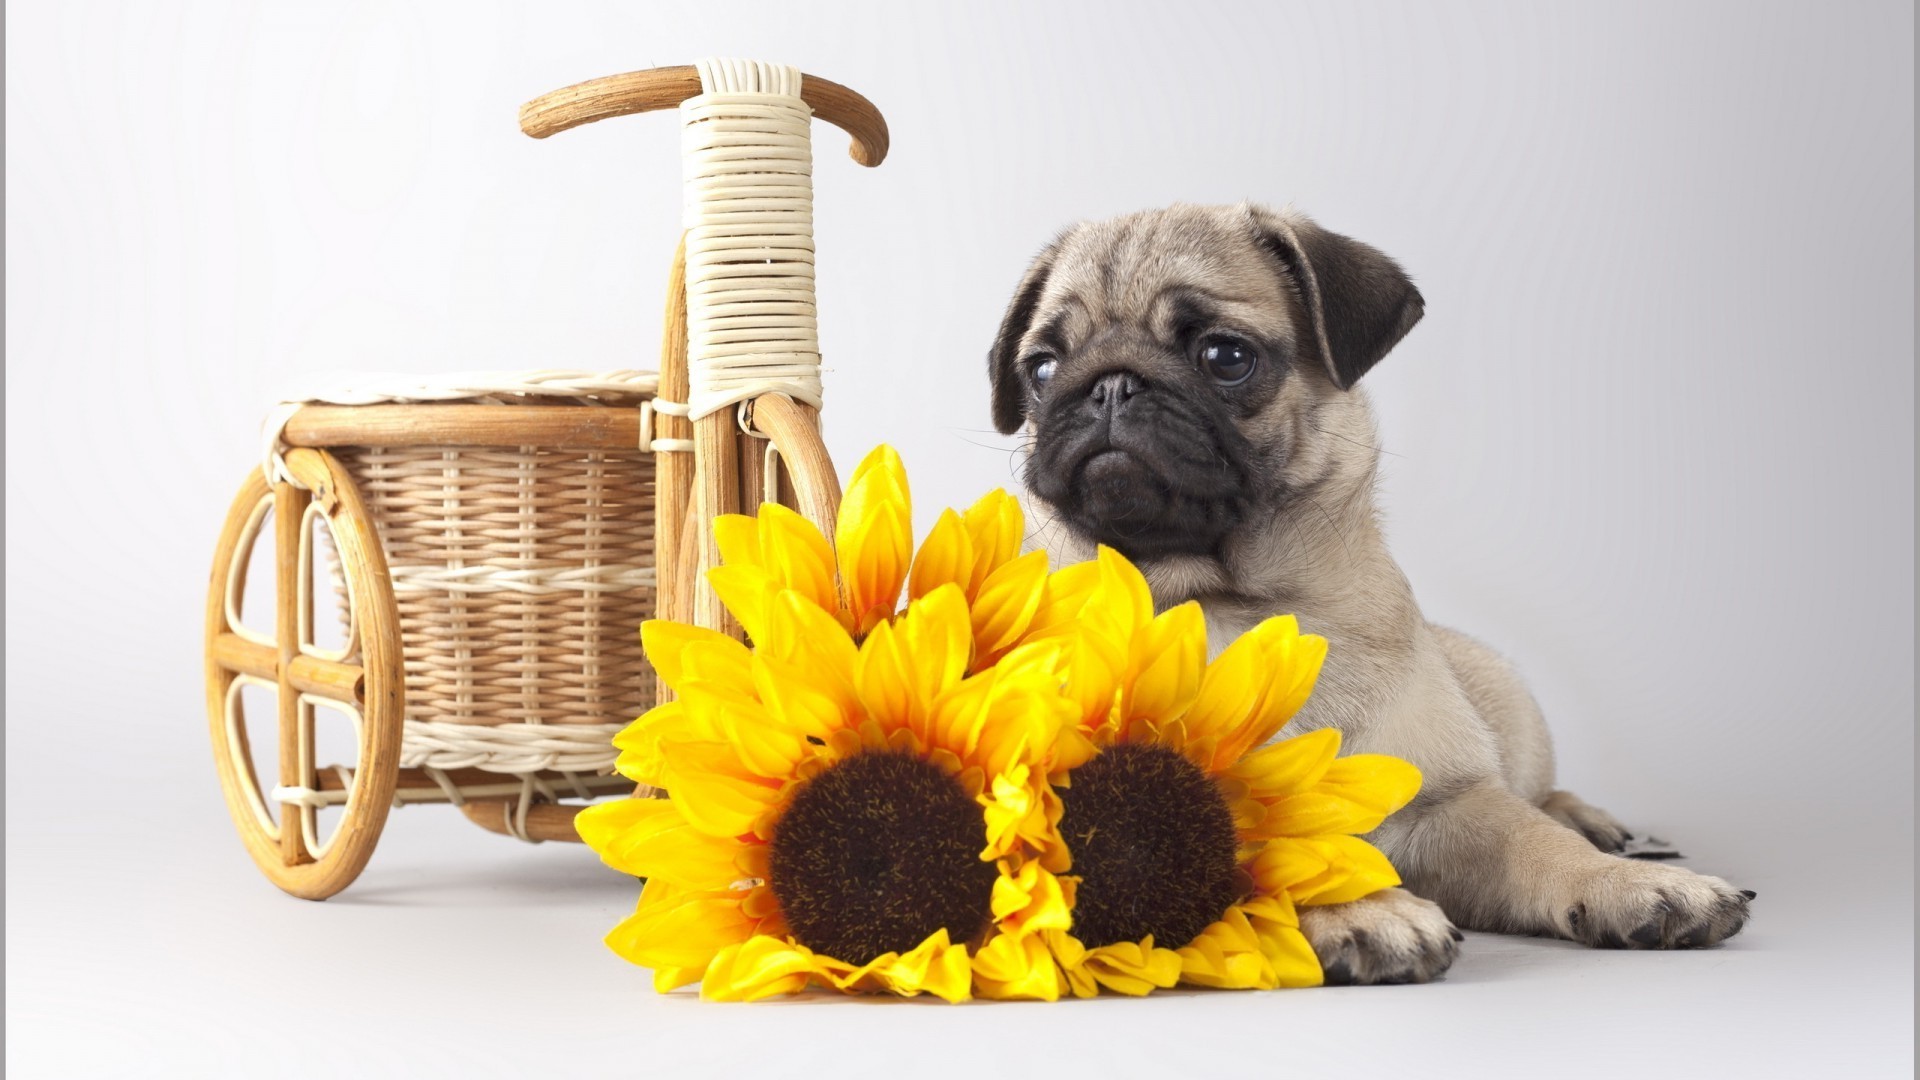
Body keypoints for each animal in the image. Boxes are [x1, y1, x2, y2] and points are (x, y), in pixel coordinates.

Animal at [990, 203, 1758, 983]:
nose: (1109, 385)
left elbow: (1533, 841)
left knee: (1538, 797)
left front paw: (1628, 885)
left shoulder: (1451, 802)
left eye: (1225, 357)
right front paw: (1362, 906)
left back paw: (1591, 822)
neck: (1227, 599)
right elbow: (1268, 839)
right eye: (1041, 369)